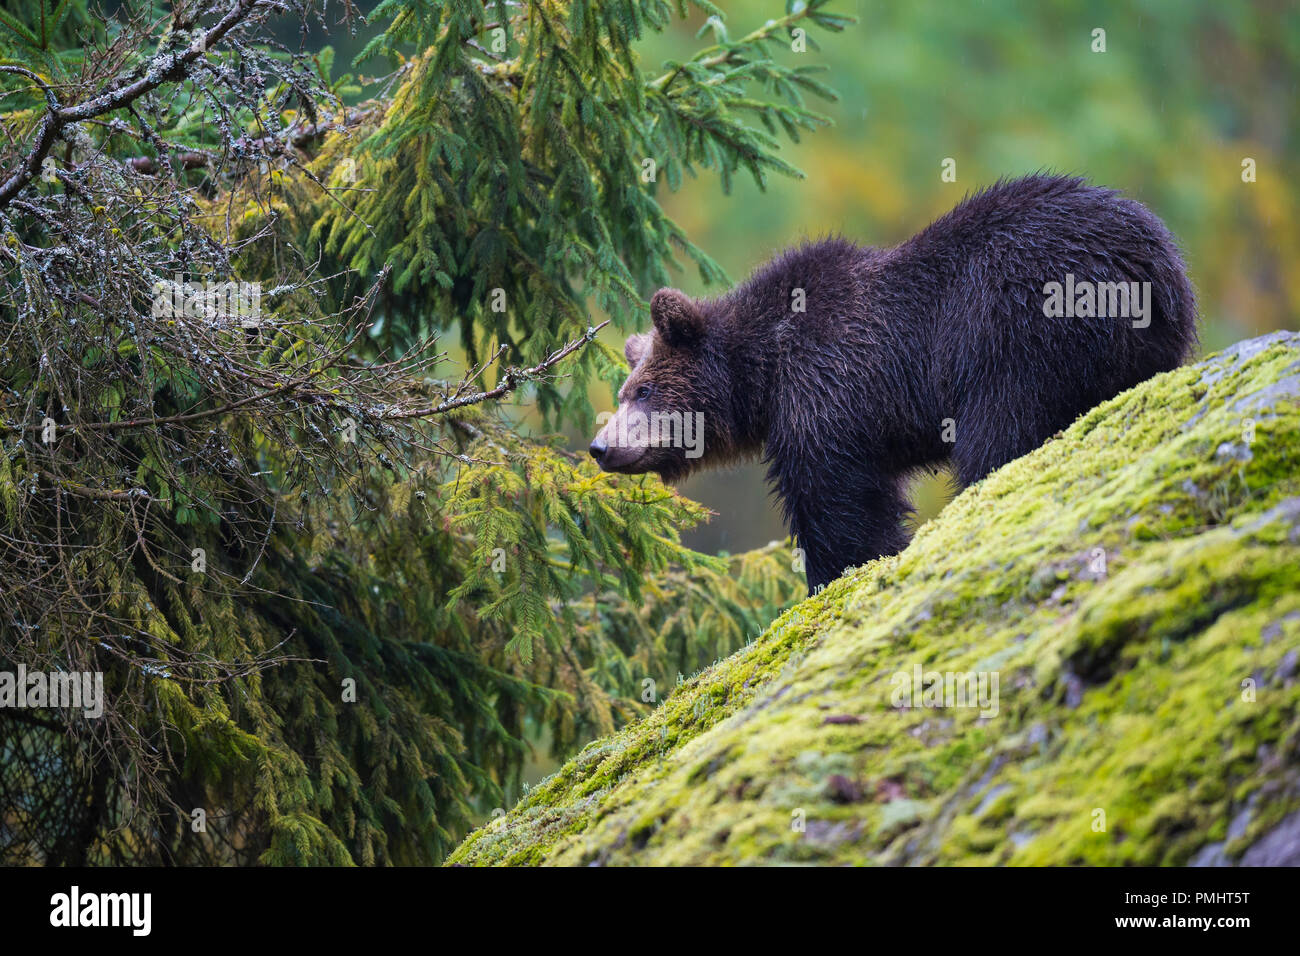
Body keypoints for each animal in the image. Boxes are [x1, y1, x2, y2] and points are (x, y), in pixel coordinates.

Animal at [589, 174, 1198, 593]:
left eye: (643, 392)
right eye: (624, 392)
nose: (600, 446)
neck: (765, 372)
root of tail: (1153, 260)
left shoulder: (829, 384)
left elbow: (838, 499)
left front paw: (839, 569)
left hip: (1015, 324)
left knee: (1000, 430)